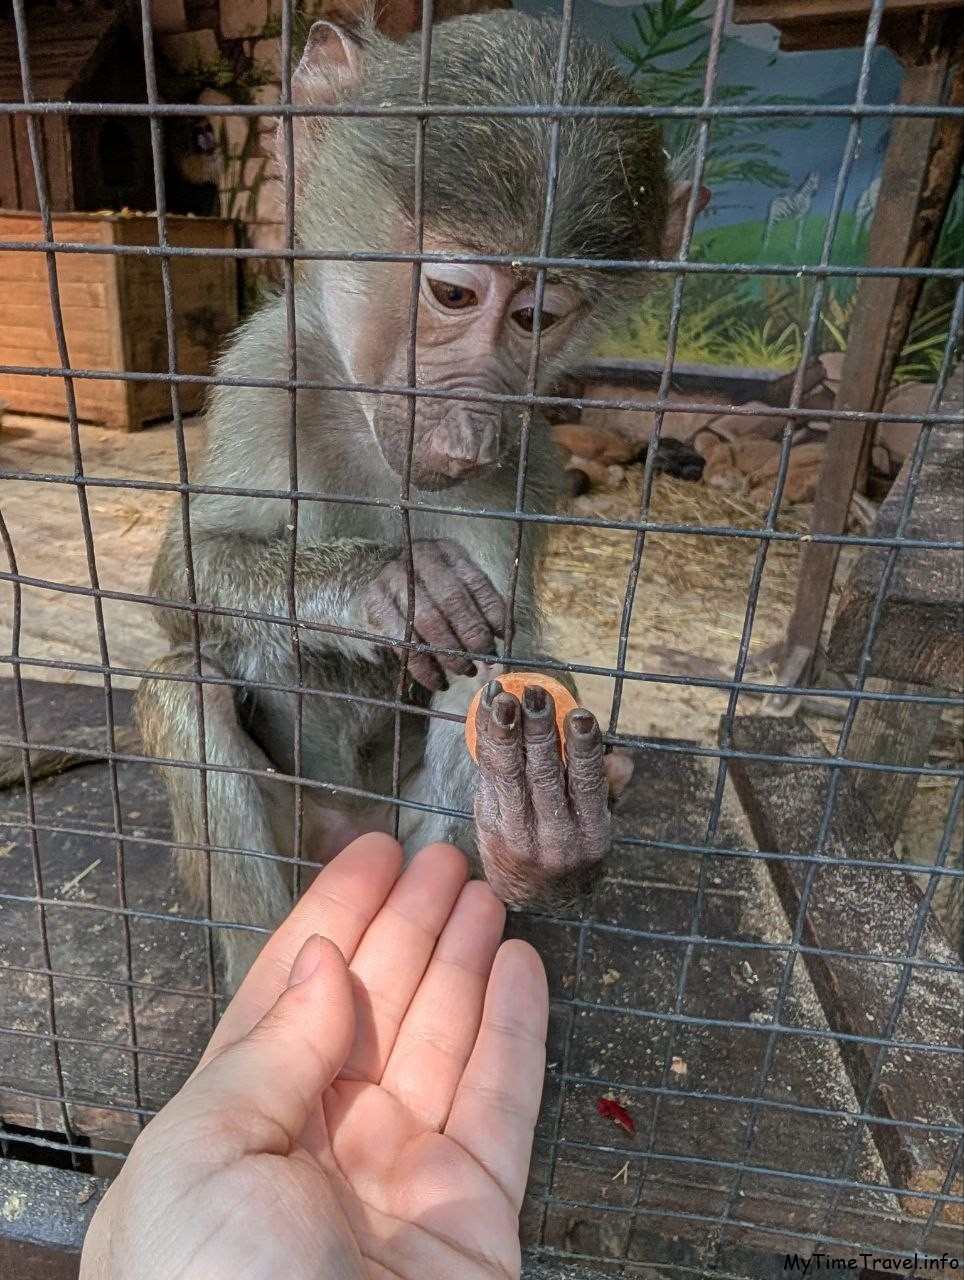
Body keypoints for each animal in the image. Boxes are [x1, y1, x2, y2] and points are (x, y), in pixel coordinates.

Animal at [133, 14, 705, 992]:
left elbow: (504, 638)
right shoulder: (266, 371)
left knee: (490, 679)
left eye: (537, 318)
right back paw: (266, 975)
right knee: (185, 686)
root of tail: (351, 837)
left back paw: (521, 844)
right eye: (451, 293)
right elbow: (184, 574)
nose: (466, 437)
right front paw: (390, 586)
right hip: (304, 827)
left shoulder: (521, 462)